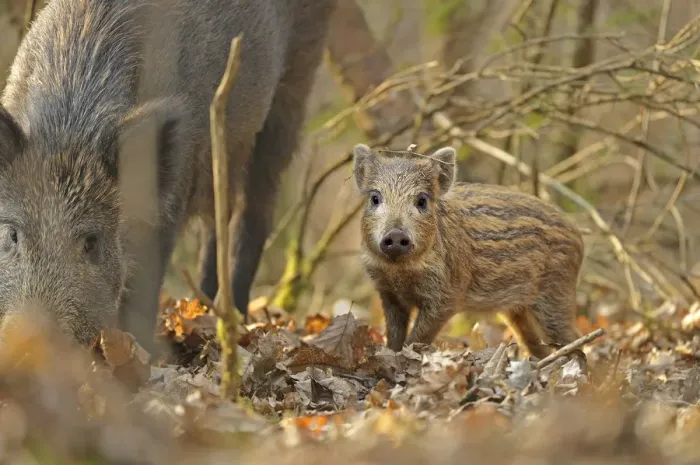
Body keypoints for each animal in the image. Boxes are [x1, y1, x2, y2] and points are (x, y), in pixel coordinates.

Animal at [0, 0, 337, 353]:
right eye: (13, 234)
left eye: (92, 242)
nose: (28, 344)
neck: (71, 128)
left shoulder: (167, 205)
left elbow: (144, 290)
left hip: (291, 91)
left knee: (254, 210)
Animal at [352, 143, 585, 360]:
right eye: (375, 198)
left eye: (422, 200)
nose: (396, 235)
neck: (400, 271)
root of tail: (577, 233)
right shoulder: (388, 292)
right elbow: (394, 335)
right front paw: (389, 354)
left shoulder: (447, 296)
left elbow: (418, 337)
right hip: (518, 310)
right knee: (536, 344)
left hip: (556, 292)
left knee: (574, 340)